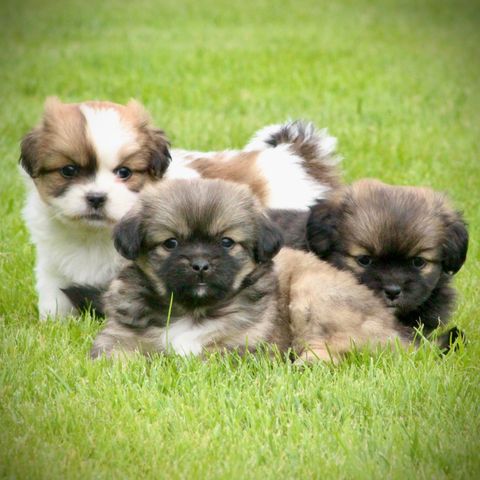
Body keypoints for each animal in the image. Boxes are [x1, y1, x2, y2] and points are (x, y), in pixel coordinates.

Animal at [20, 96, 340, 318]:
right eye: (68, 171)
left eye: (124, 172)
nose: (96, 197)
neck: (94, 235)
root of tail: (295, 155)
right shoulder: (52, 261)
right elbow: (54, 296)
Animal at [85, 178, 408, 362]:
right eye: (171, 243)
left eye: (226, 242)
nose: (200, 264)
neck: (192, 311)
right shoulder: (117, 337)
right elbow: (114, 358)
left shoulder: (244, 347)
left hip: (313, 293)